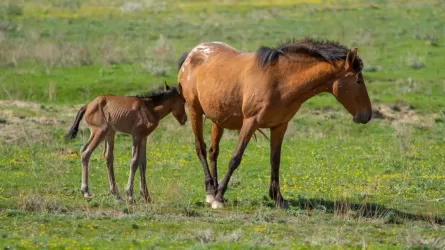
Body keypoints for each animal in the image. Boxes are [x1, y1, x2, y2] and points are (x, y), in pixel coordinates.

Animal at [177, 37, 372, 209]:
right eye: (358, 80)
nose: (367, 115)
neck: (279, 81)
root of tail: (192, 53)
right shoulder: (250, 123)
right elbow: (235, 158)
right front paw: (219, 198)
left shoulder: (280, 126)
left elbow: (275, 161)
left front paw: (278, 198)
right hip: (195, 111)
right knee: (201, 148)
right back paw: (212, 191)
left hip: (218, 119)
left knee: (213, 152)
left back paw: (213, 189)